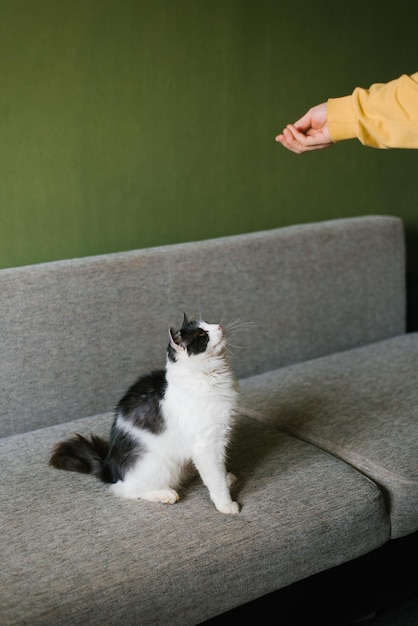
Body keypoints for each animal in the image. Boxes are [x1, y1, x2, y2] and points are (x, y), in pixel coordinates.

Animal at [49, 312, 240, 512]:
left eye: (208, 323)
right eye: (203, 334)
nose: (219, 326)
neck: (212, 377)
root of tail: (108, 464)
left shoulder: (216, 440)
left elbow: (217, 472)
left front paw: (226, 479)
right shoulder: (207, 444)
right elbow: (215, 479)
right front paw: (226, 505)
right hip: (162, 465)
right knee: (123, 489)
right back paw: (165, 494)